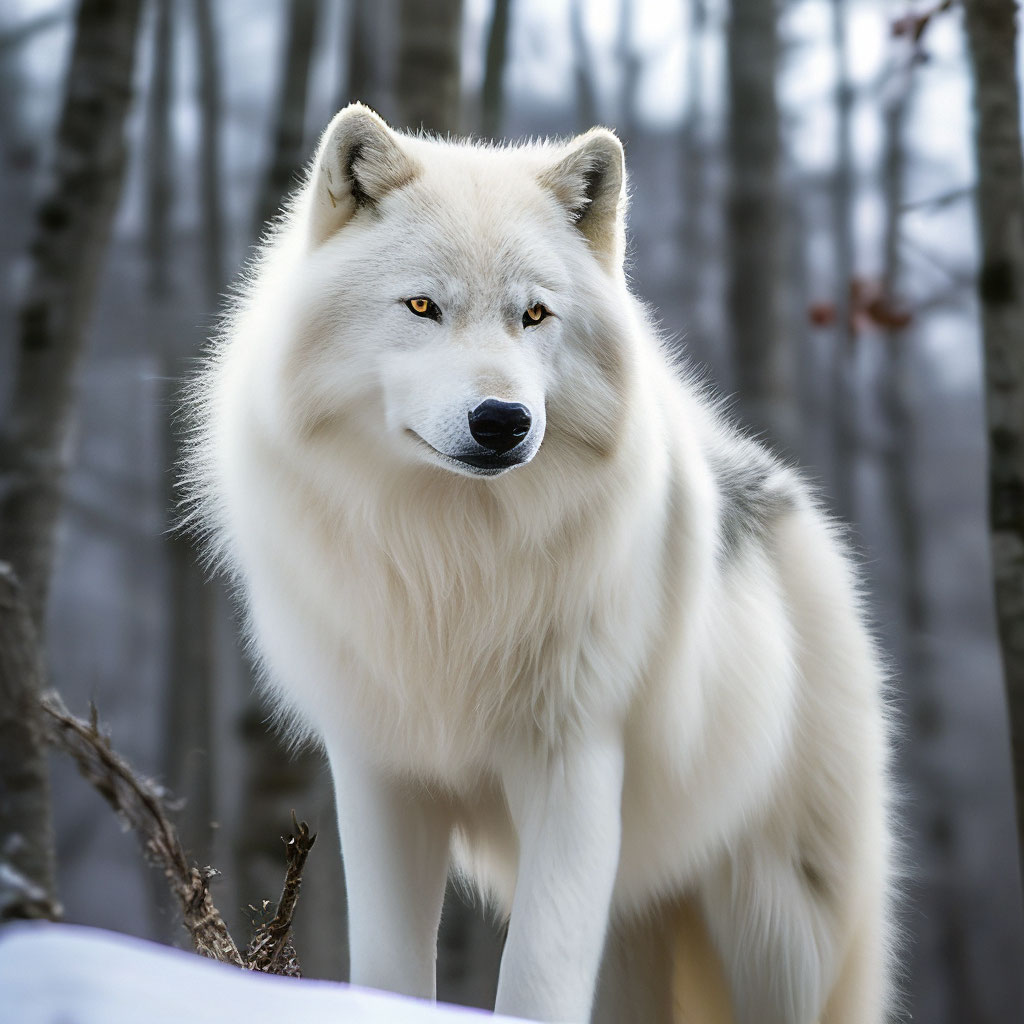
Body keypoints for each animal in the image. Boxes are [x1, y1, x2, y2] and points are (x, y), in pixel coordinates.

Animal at [188, 105, 892, 1024]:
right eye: (423, 305)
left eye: (534, 315)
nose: (502, 420)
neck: (449, 565)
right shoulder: (379, 770)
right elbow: (388, 965)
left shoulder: (575, 762)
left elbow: (537, 974)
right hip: (643, 922)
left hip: (777, 928)